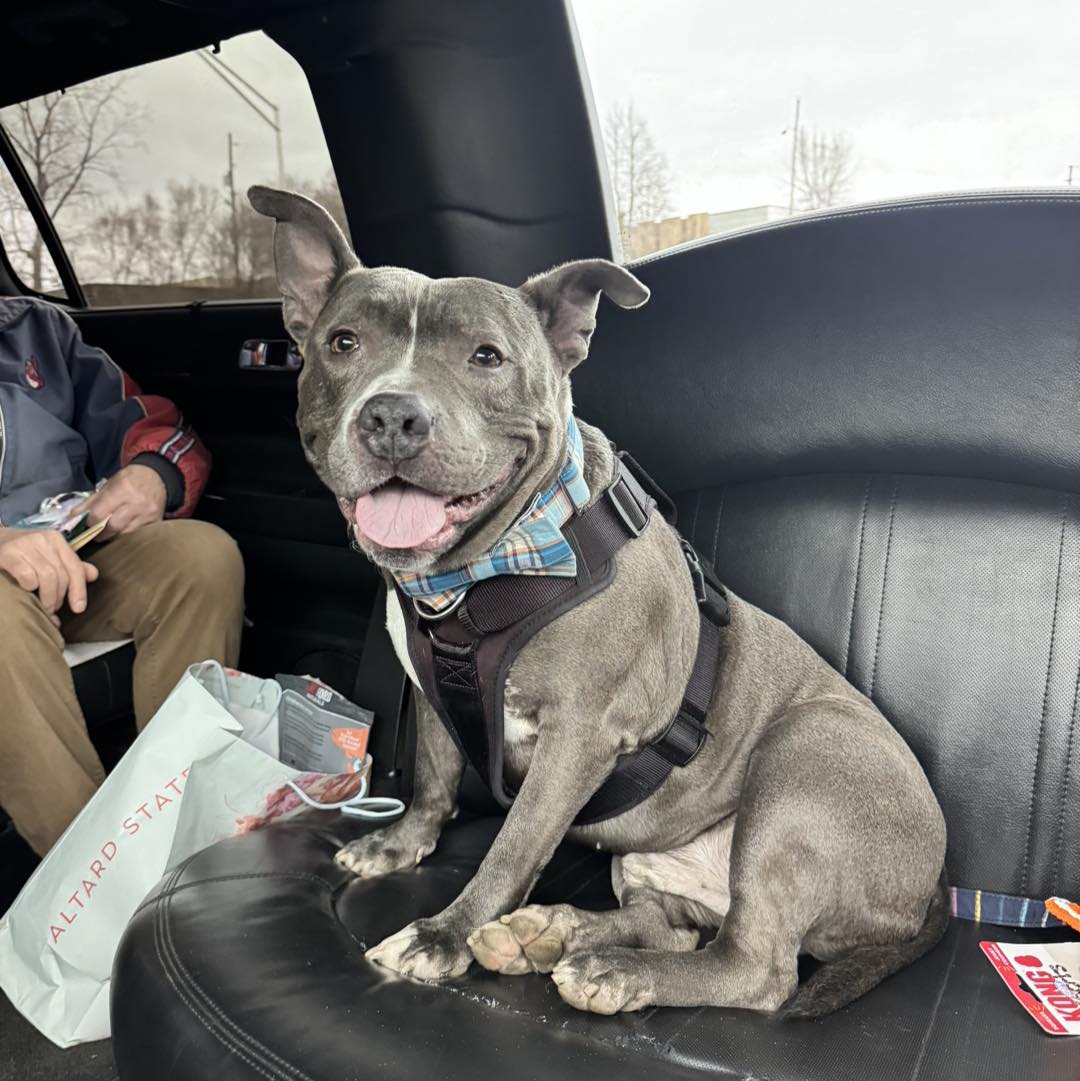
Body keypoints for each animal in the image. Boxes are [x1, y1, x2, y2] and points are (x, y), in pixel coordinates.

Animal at [250, 181, 947, 1016]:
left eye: (487, 356)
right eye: (343, 342)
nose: (392, 415)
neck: (474, 576)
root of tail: (931, 895)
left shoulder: (579, 732)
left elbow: (515, 841)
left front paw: (443, 934)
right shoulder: (436, 700)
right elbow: (434, 780)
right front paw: (401, 845)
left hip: (805, 760)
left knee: (757, 967)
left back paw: (609, 967)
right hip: (650, 858)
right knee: (671, 925)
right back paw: (553, 934)